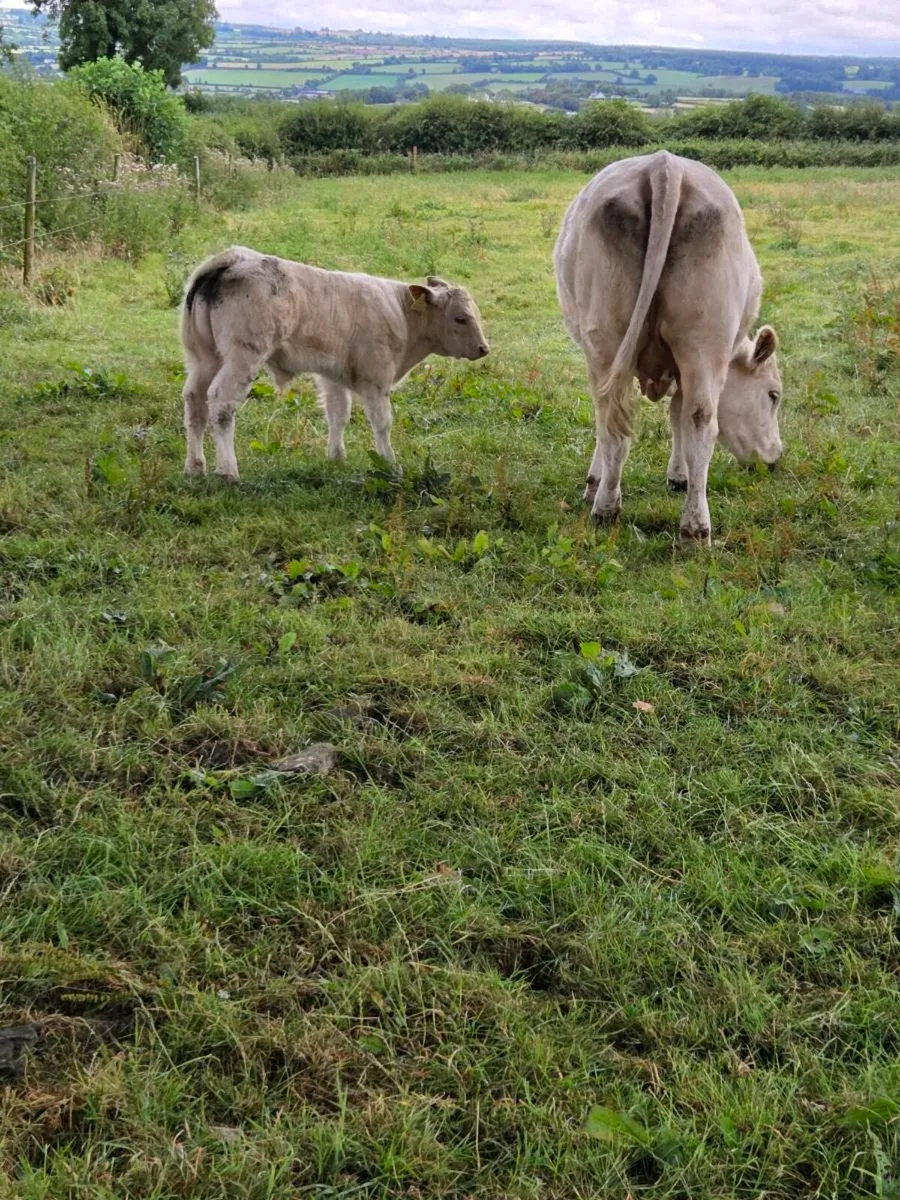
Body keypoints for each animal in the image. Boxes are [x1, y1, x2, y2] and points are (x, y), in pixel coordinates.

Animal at [180, 246, 489, 481]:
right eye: (460, 318)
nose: (484, 348)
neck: (401, 312)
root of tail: (234, 258)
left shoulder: (332, 375)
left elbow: (338, 414)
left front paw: (337, 458)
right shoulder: (376, 377)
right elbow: (381, 422)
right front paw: (390, 464)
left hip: (204, 359)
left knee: (195, 402)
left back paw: (195, 467)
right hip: (242, 358)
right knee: (221, 404)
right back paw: (228, 471)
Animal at [554, 150, 783, 543]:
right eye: (773, 395)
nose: (775, 457)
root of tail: (664, 166)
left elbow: (671, 414)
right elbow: (677, 414)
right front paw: (680, 476)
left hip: (614, 343)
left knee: (618, 417)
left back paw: (611, 506)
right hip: (699, 344)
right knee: (694, 421)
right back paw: (689, 526)